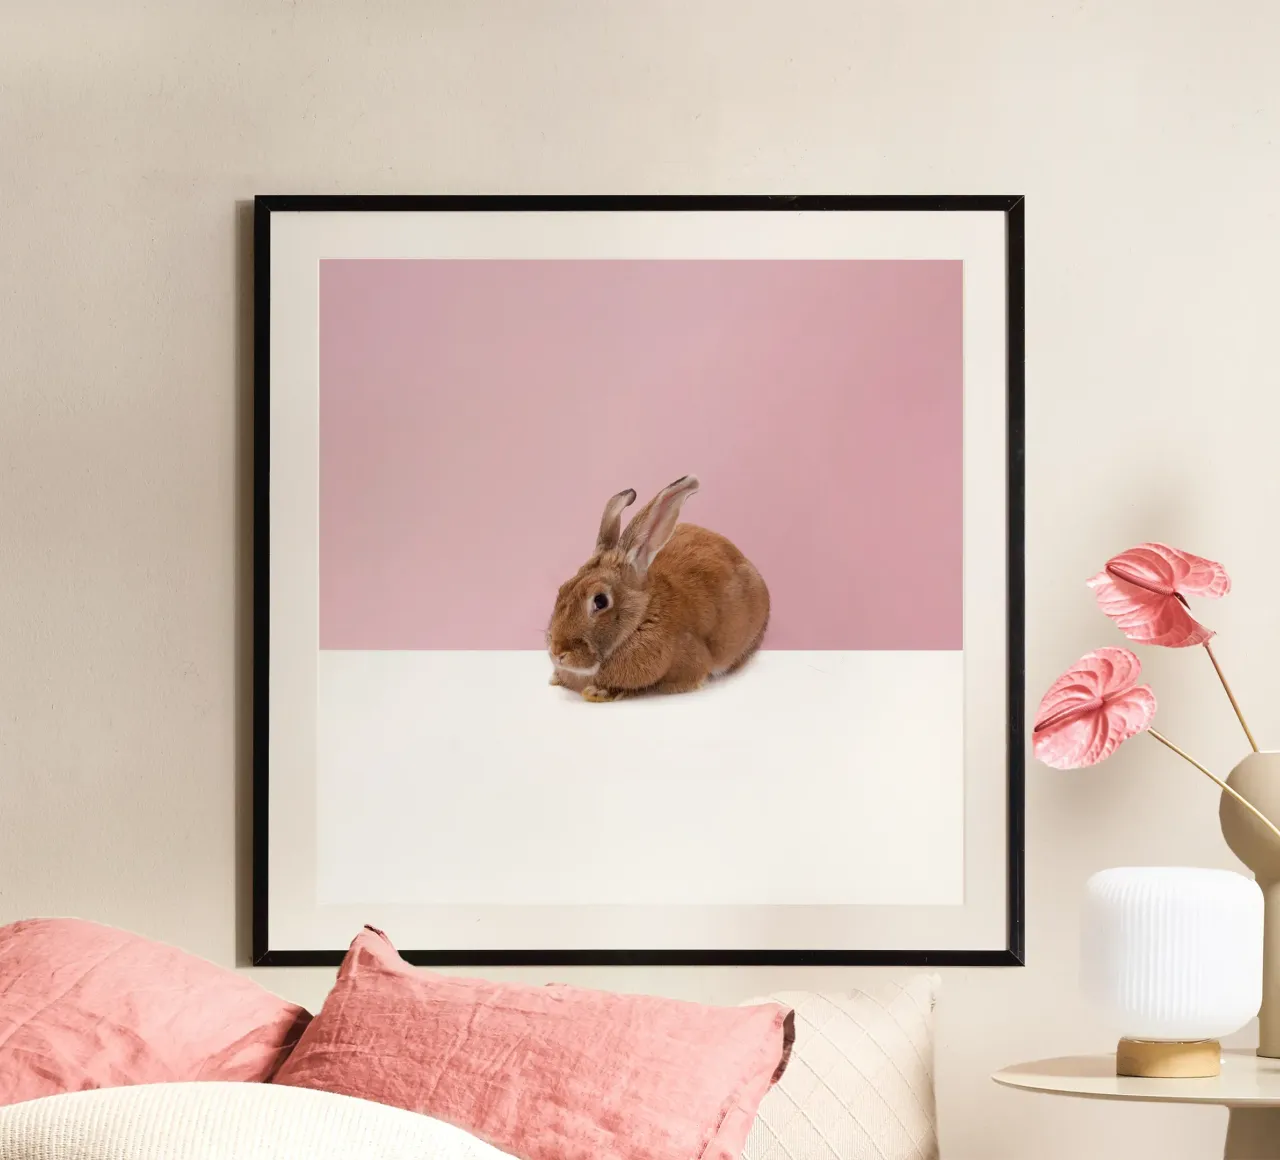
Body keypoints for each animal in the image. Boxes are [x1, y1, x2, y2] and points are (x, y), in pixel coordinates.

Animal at [546, 475, 770, 702]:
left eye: (600, 601)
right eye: (562, 589)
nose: (557, 652)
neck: (640, 620)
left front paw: (598, 692)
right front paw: (557, 679)